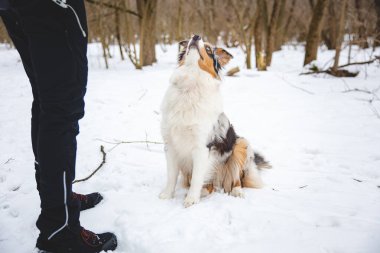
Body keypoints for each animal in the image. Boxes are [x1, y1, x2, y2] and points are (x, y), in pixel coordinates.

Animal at [160, 34, 270, 208]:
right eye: (190, 41)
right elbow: (171, 175)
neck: (190, 86)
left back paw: (236, 191)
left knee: (235, 179)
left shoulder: (202, 147)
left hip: (241, 144)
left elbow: (197, 178)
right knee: (210, 186)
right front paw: (167, 195)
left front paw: (191, 199)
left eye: (209, 49)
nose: (195, 36)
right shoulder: (170, 144)